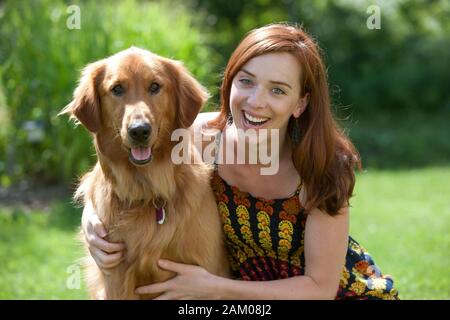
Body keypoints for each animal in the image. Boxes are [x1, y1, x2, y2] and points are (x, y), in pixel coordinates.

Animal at [59, 47, 229, 300]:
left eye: (155, 86)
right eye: (117, 89)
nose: (139, 131)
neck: (149, 193)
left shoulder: (204, 271)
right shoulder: (116, 277)